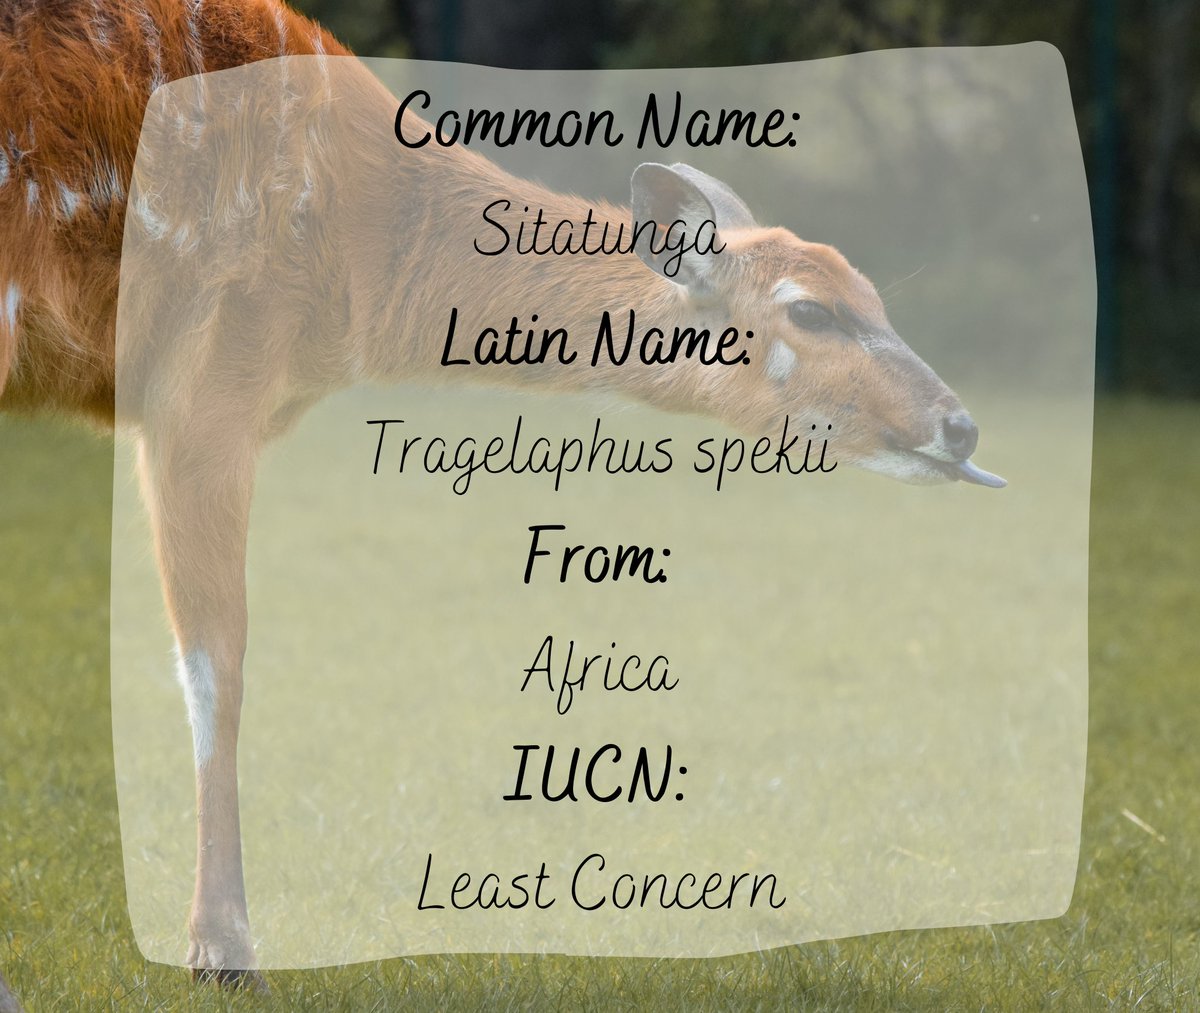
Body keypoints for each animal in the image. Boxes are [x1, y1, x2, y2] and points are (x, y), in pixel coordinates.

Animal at [0, 0, 1005, 996]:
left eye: (876, 294)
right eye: (811, 310)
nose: (959, 426)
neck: (360, 269)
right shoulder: (205, 379)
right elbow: (218, 667)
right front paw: (223, 951)